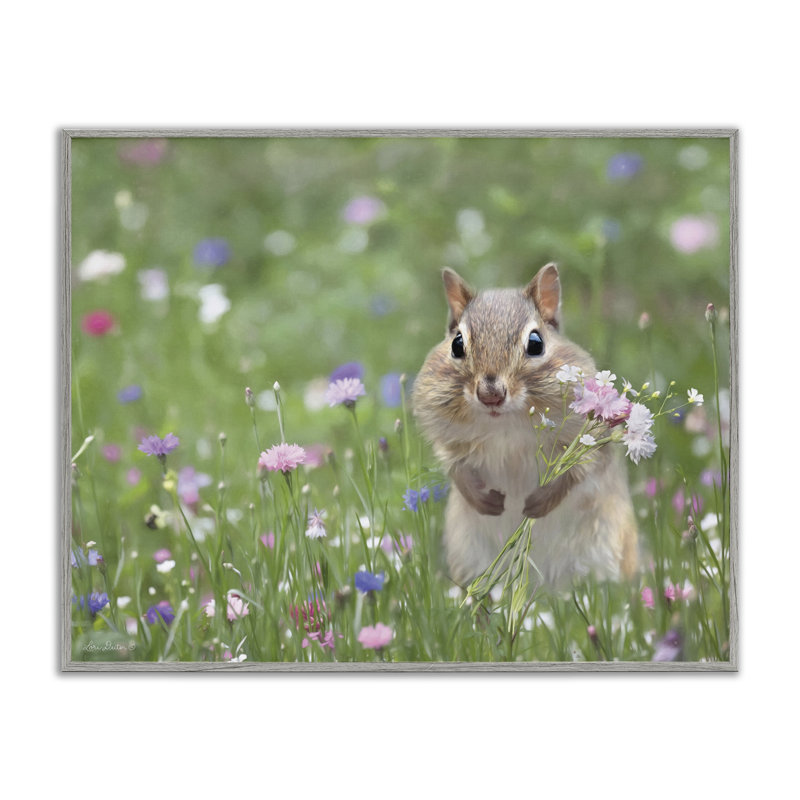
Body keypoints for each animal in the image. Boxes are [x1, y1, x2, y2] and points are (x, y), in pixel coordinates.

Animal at [412, 263, 638, 588]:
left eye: (535, 343)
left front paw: (537, 504)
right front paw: (485, 501)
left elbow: (578, 471)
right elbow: (455, 467)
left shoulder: (589, 440)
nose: (490, 395)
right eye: (456, 344)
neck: (504, 424)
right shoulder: (447, 438)